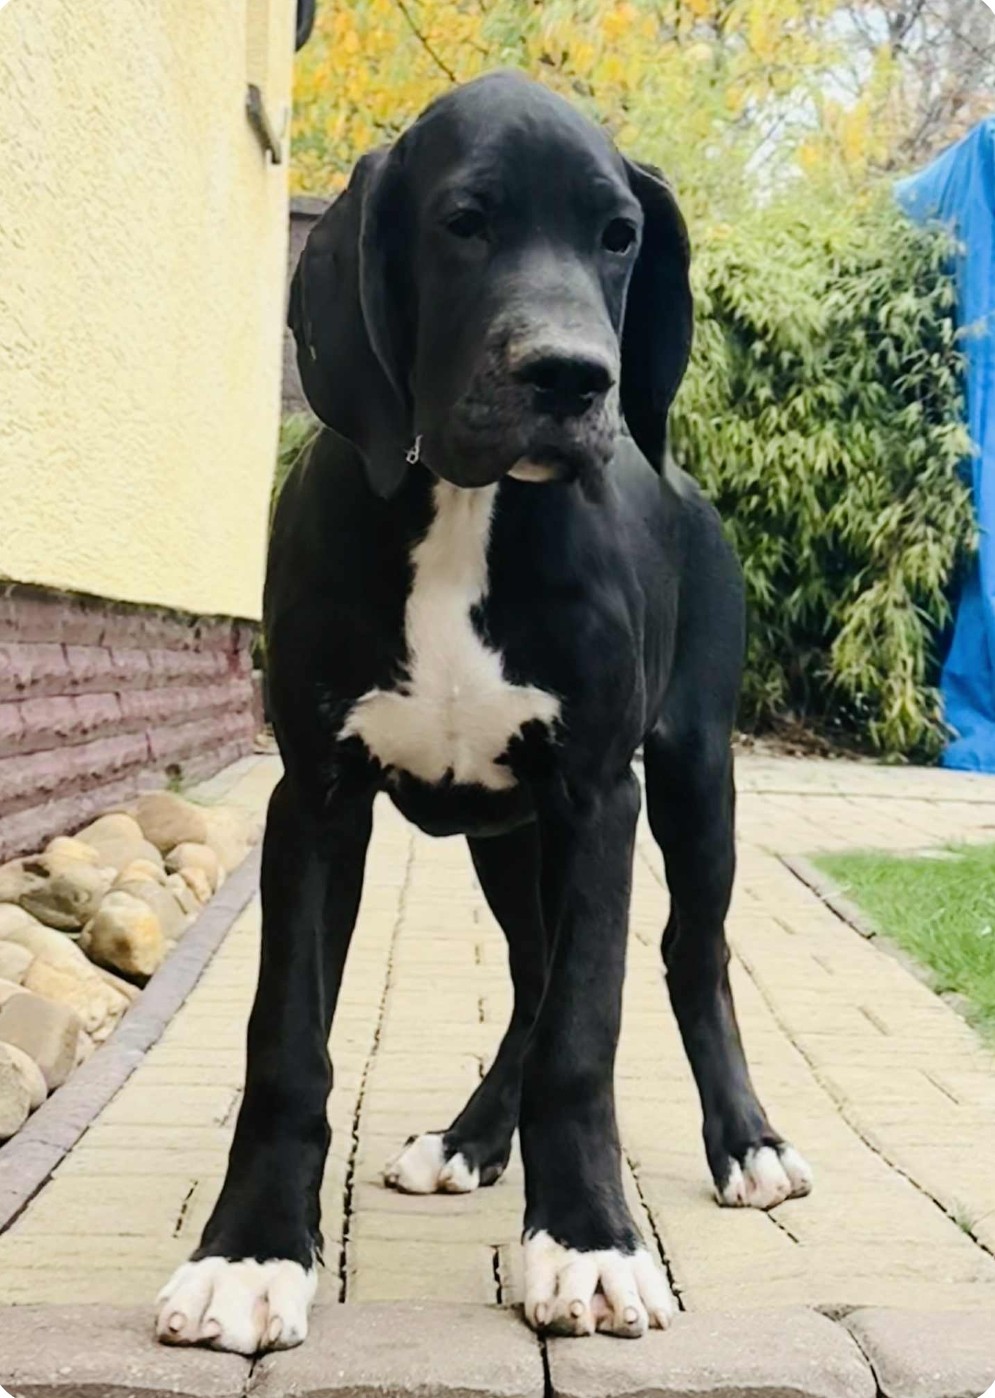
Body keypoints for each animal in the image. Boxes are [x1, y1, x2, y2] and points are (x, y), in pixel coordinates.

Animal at [155, 71, 811, 1356]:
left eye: (618, 236)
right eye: (463, 222)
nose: (571, 379)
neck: (466, 508)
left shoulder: (600, 795)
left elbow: (583, 1031)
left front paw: (591, 1241)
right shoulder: (314, 800)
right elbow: (286, 1041)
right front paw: (250, 1251)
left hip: (692, 775)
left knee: (687, 951)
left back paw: (744, 1142)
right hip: (510, 837)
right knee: (525, 973)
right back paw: (468, 1138)